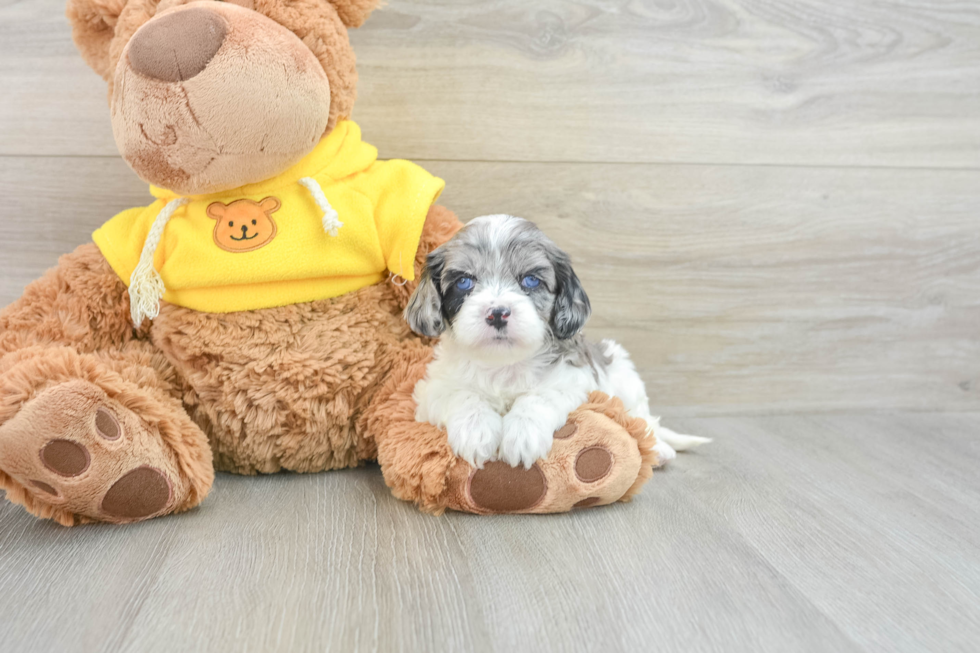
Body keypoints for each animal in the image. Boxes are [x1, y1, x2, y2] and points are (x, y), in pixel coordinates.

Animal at [402, 215, 708, 468]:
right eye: (464, 282)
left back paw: (659, 447)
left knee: (643, 419)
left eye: (530, 280)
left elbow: (540, 396)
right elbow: (462, 395)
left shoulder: (572, 378)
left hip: (624, 374)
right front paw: (476, 431)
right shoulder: (433, 387)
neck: (504, 364)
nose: (498, 313)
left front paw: (522, 434)